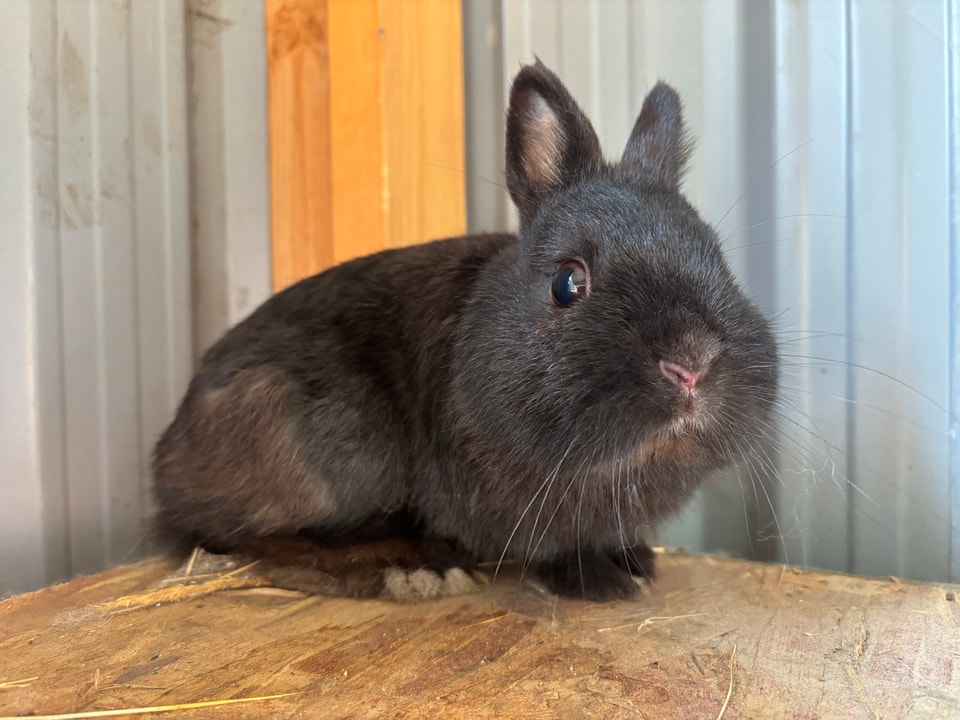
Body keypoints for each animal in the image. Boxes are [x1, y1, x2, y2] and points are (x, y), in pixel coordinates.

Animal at [152, 60, 779, 602]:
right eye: (567, 283)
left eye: (717, 258)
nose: (691, 363)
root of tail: (167, 460)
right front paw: (600, 582)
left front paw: (635, 561)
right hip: (317, 440)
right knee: (258, 541)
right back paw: (413, 573)